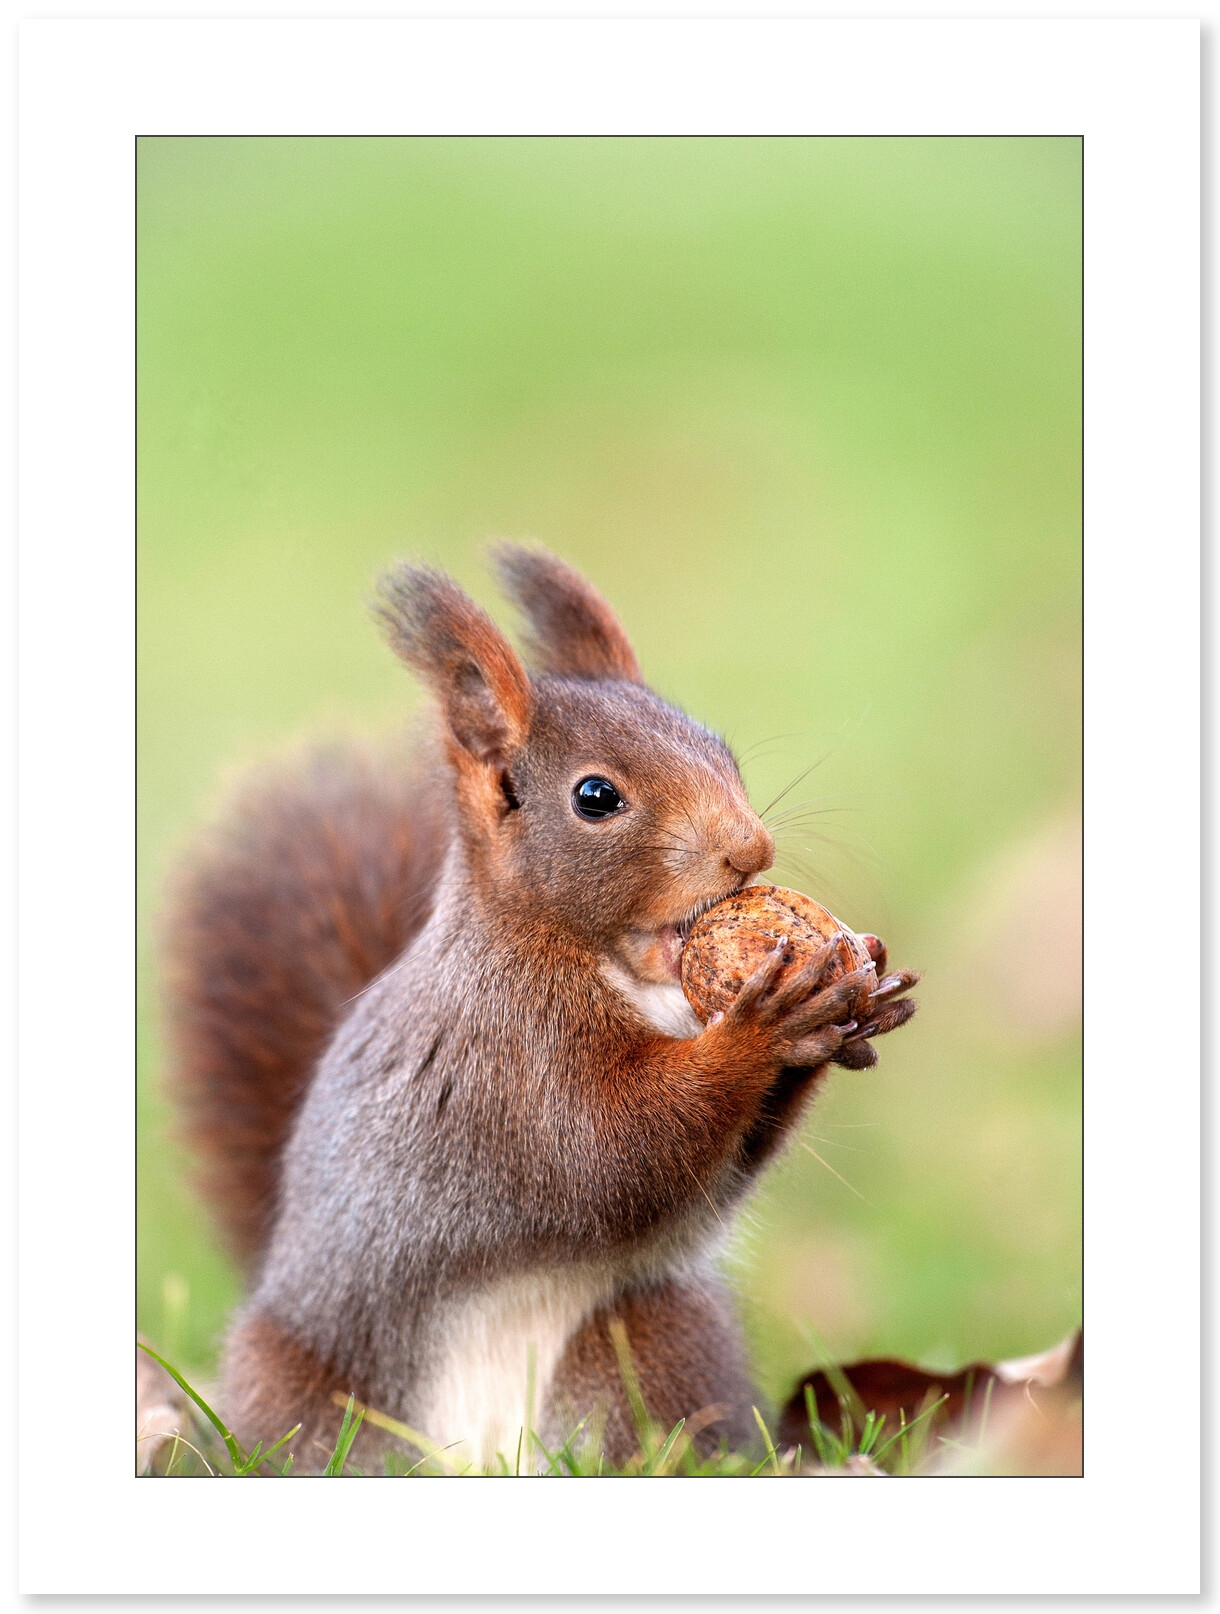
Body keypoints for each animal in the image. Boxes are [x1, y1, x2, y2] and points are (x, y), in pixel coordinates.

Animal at [161, 544, 918, 1473]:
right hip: (310, 1393)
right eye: (596, 797)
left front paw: (857, 994)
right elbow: (611, 1151)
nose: (752, 849)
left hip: (653, 1338)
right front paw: (764, 1027)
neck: (620, 969)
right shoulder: (506, 1055)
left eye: (720, 748)